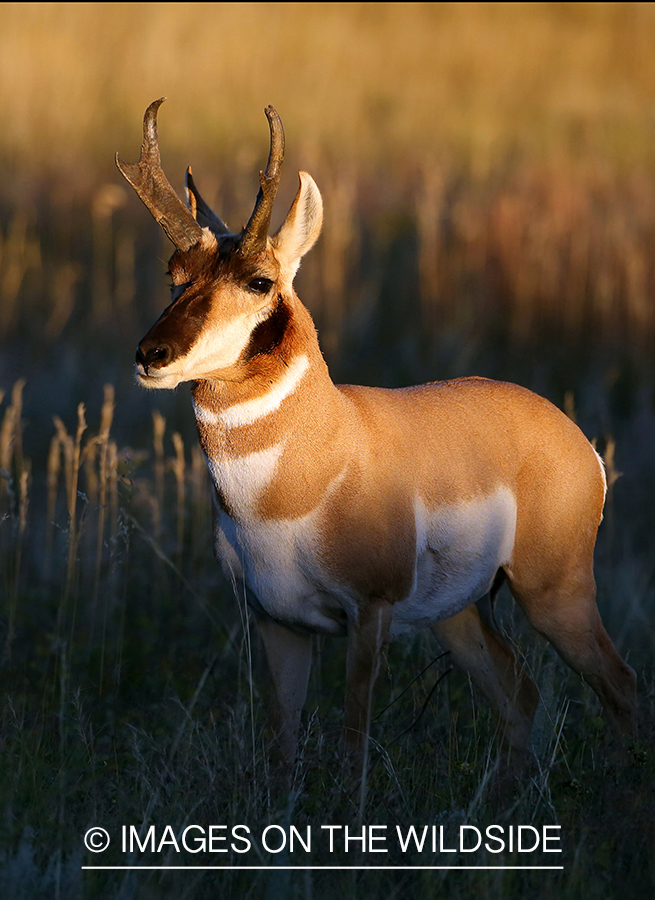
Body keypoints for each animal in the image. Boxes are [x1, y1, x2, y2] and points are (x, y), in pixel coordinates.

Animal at [115, 96, 640, 772]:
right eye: (174, 272)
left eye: (259, 280)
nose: (151, 354)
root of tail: (569, 434)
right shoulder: (277, 623)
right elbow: (282, 745)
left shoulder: (370, 613)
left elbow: (352, 742)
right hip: (460, 614)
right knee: (519, 693)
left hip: (554, 592)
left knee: (619, 682)